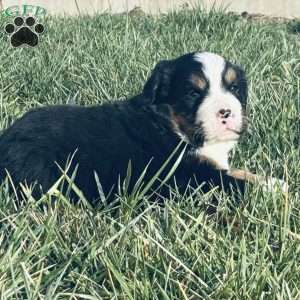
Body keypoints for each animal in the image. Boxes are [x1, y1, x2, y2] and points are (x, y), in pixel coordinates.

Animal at [0, 51, 286, 206]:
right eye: (193, 93)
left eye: (234, 88)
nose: (226, 112)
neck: (170, 126)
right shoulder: (185, 179)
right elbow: (231, 183)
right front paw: (274, 188)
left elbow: (235, 172)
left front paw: (272, 180)